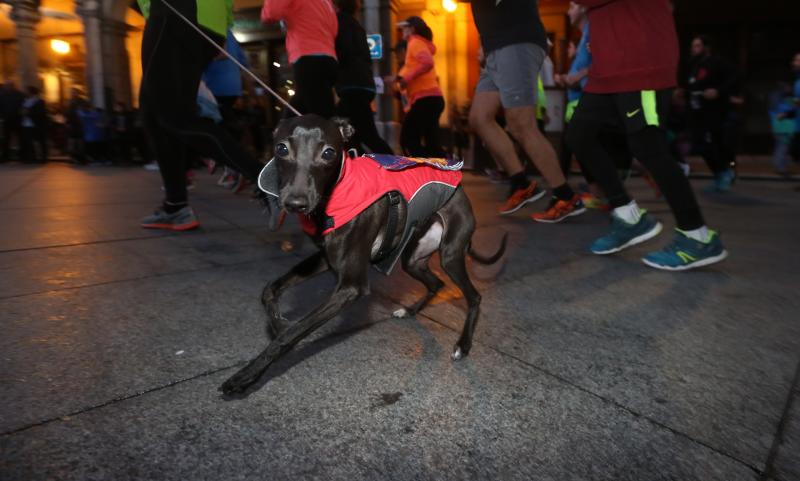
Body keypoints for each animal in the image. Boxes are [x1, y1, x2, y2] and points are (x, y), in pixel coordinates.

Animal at [220, 116, 506, 394]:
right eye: (281, 149)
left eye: (328, 153)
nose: (295, 204)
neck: (336, 194)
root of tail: (462, 189)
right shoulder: (326, 259)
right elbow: (270, 289)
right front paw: (277, 323)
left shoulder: (351, 287)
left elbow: (291, 334)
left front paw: (247, 375)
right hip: (413, 259)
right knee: (436, 282)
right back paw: (410, 311)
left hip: (450, 255)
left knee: (474, 296)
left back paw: (463, 345)